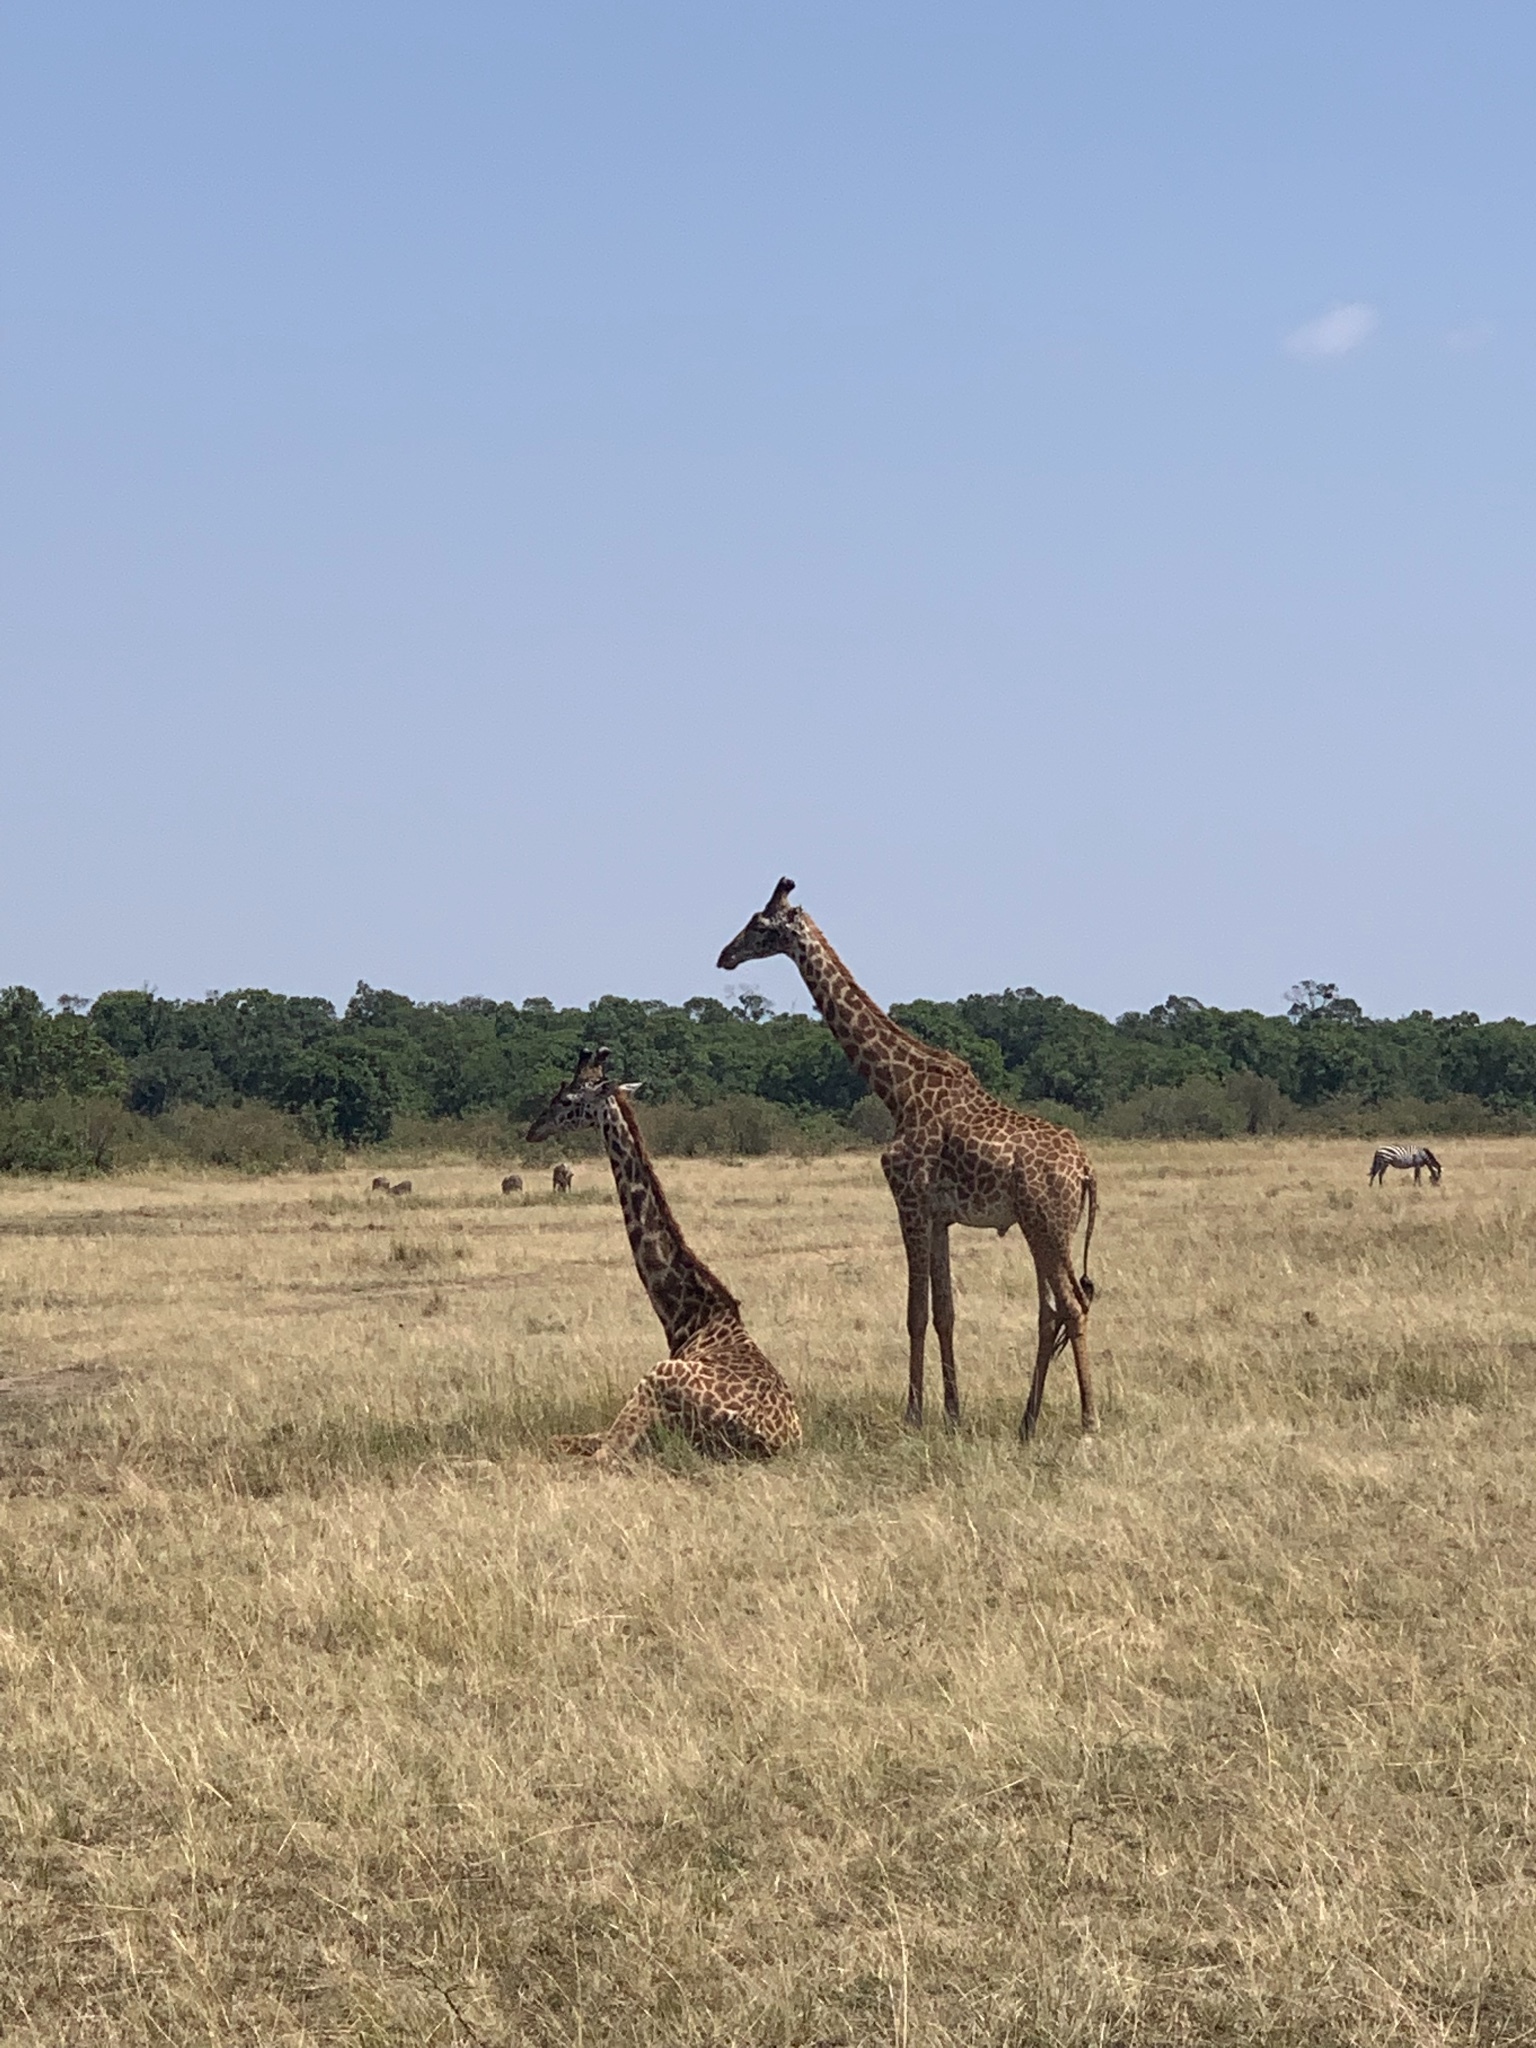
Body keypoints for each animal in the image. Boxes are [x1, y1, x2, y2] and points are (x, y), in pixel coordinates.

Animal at [528, 1048, 798, 1466]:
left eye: (568, 1100)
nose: (533, 1129)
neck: (690, 1318)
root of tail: (773, 1445)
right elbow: (554, 1440)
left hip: (657, 1380)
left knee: (601, 1459)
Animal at [720, 880, 1097, 1441]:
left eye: (760, 925)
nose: (725, 955)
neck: (897, 1089)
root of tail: (1087, 1171)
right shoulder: (940, 1216)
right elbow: (944, 1312)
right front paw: (953, 1413)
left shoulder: (909, 1201)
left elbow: (915, 1312)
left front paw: (914, 1415)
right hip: (1045, 1228)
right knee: (1052, 1309)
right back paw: (1027, 1421)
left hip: (1046, 1223)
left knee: (1071, 1304)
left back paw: (1088, 1420)